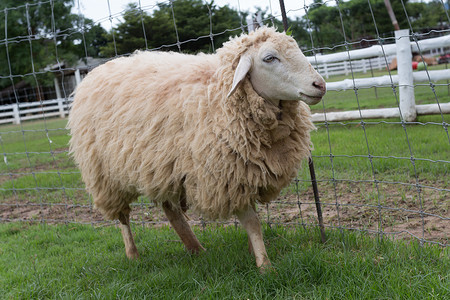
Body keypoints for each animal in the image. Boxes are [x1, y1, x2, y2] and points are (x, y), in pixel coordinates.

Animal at [68, 27, 326, 270]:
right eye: (270, 58)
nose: (320, 85)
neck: (219, 95)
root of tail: (97, 71)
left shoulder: (243, 172)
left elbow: (253, 221)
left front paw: (254, 253)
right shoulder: (227, 177)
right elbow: (252, 222)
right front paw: (265, 266)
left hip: (160, 165)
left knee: (170, 209)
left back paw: (195, 248)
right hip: (105, 176)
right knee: (123, 217)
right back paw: (133, 254)